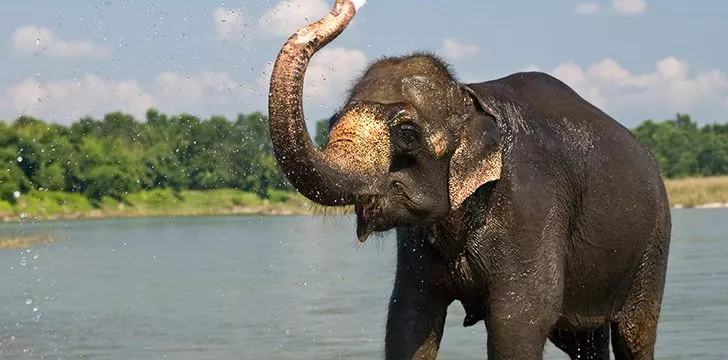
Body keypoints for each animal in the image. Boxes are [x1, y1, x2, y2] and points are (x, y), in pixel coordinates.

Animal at [266, 1, 672, 358]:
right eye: (333, 121)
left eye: (407, 133)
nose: (344, 6)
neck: (469, 98)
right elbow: (408, 318)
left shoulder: (530, 206)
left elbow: (518, 323)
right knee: (581, 340)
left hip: (654, 244)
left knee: (634, 334)